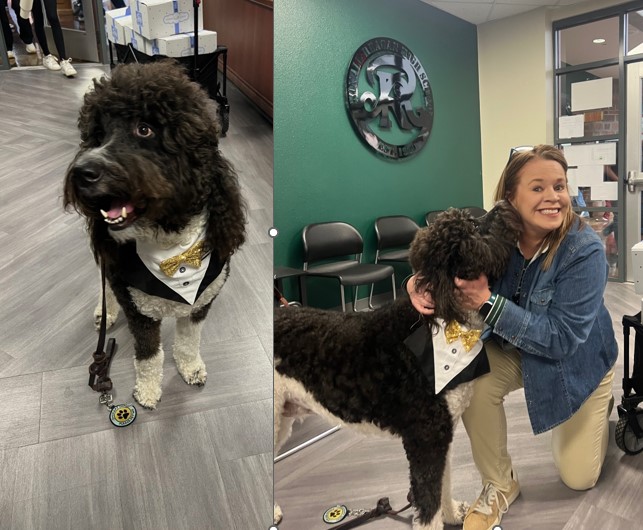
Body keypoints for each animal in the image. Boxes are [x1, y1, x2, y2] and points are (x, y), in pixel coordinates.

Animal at [63, 62, 245, 408]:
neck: (172, 246)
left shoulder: (200, 305)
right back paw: (104, 311)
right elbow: (149, 357)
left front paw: (190, 368)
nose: (81, 172)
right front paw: (147, 390)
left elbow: (188, 343)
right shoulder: (140, 312)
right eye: (98, 135)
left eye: (144, 129)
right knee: (106, 284)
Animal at [276, 200, 524, 524]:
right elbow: (428, 505)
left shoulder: (441, 434)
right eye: (473, 226)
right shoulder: (425, 437)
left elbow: (443, 483)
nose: (504, 203)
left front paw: (452, 514)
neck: (441, 321)